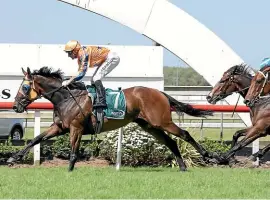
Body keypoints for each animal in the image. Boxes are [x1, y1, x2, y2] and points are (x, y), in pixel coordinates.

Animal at [8, 66, 214, 171]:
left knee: (184, 134)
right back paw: (182, 167)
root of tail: (160, 92)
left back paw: (210, 156)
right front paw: (13, 158)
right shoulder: (60, 127)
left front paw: (69, 171)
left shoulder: (76, 128)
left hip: (162, 121)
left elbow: (74, 152)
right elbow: (35, 139)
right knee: (171, 142)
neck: (67, 98)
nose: (15, 105)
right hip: (149, 125)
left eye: (24, 87)